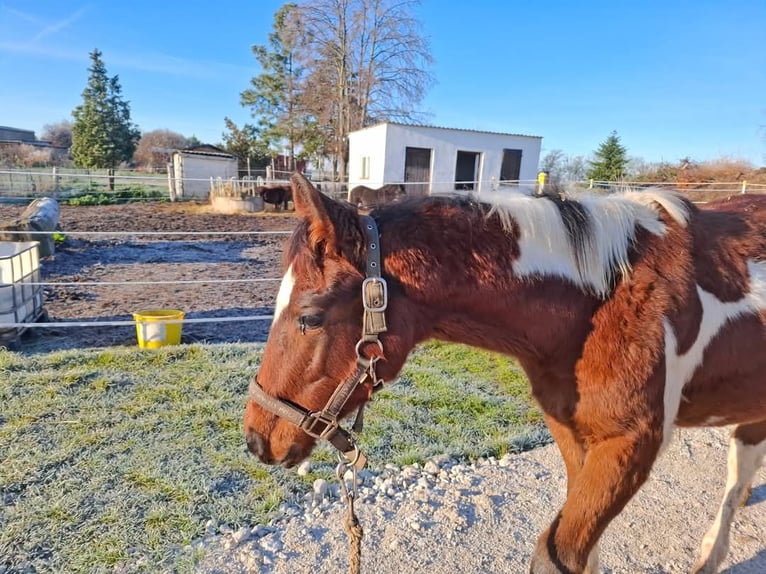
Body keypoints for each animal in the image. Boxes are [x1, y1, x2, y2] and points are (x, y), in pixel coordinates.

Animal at [246, 173, 766, 572]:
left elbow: (557, 555)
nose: (256, 439)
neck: (601, 299)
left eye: (310, 318)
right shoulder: (573, 433)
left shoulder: (632, 444)